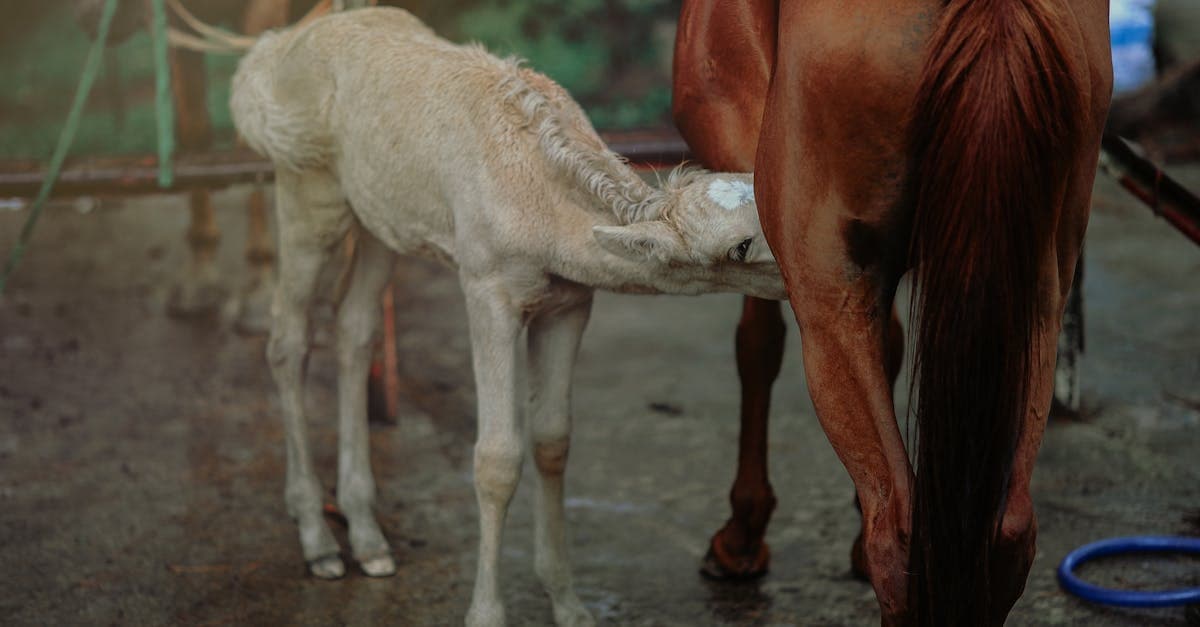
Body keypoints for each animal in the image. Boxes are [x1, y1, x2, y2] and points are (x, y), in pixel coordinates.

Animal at [231, 7, 787, 619]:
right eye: (739, 246)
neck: (544, 213)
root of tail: (270, 53)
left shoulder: (570, 302)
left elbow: (552, 440)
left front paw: (569, 604)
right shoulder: (486, 288)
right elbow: (496, 457)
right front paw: (485, 613)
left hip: (379, 220)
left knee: (355, 328)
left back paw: (369, 540)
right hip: (306, 192)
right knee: (288, 338)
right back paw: (318, 543)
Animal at [676, 1, 1113, 624]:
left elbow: (757, 343)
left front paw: (741, 535)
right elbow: (890, 345)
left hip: (826, 294)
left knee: (899, 538)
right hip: (1037, 299)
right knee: (1007, 533)